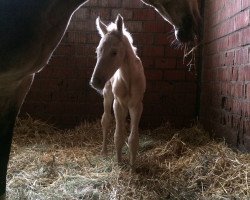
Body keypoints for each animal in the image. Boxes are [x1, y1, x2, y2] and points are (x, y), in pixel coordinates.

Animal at [90, 14, 146, 166]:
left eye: (114, 52)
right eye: (97, 51)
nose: (95, 82)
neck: (128, 78)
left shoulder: (136, 105)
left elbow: (133, 139)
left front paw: (133, 167)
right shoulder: (118, 103)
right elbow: (118, 136)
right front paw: (119, 162)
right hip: (107, 94)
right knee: (105, 120)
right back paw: (104, 151)